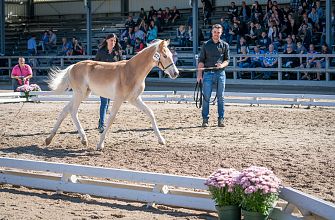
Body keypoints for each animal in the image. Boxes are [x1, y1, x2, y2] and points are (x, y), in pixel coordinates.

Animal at [46, 39, 181, 150]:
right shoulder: (119, 99)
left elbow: (150, 113)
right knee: (73, 111)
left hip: (82, 94)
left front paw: (161, 140)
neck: (132, 71)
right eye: (165, 56)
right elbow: (111, 119)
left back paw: (49, 139)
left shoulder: (134, 99)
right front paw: (100, 145)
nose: (176, 73)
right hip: (80, 94)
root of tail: (73, 66)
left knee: (65, 110)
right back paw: (84, 139)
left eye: (170, 55)